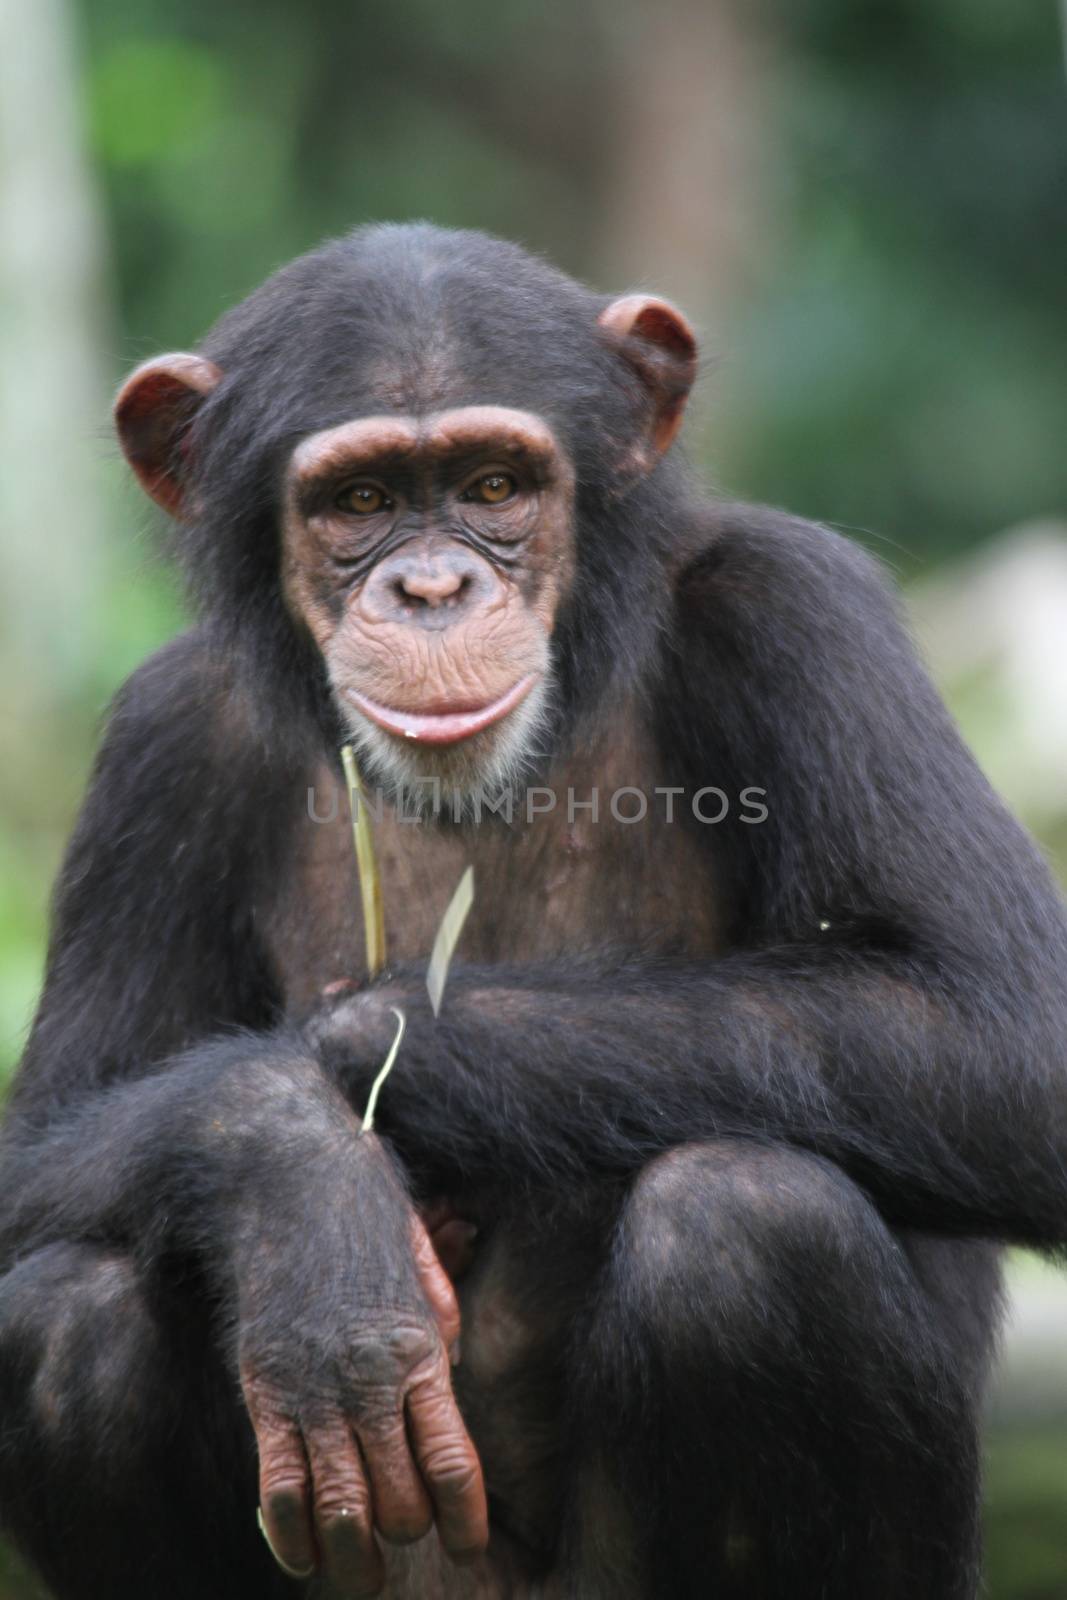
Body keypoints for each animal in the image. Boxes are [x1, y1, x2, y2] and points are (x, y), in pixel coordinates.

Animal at [2, 222, 1067, 1600]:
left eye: (496, 485)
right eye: (359, 503)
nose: (432, 586)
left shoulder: (800, 611)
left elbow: (1003, 1036)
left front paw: (361, 1051)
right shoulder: (162, 741)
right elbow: (46, 1142)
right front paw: (298, 1188)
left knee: (741, 1226)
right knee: (68, 1313)